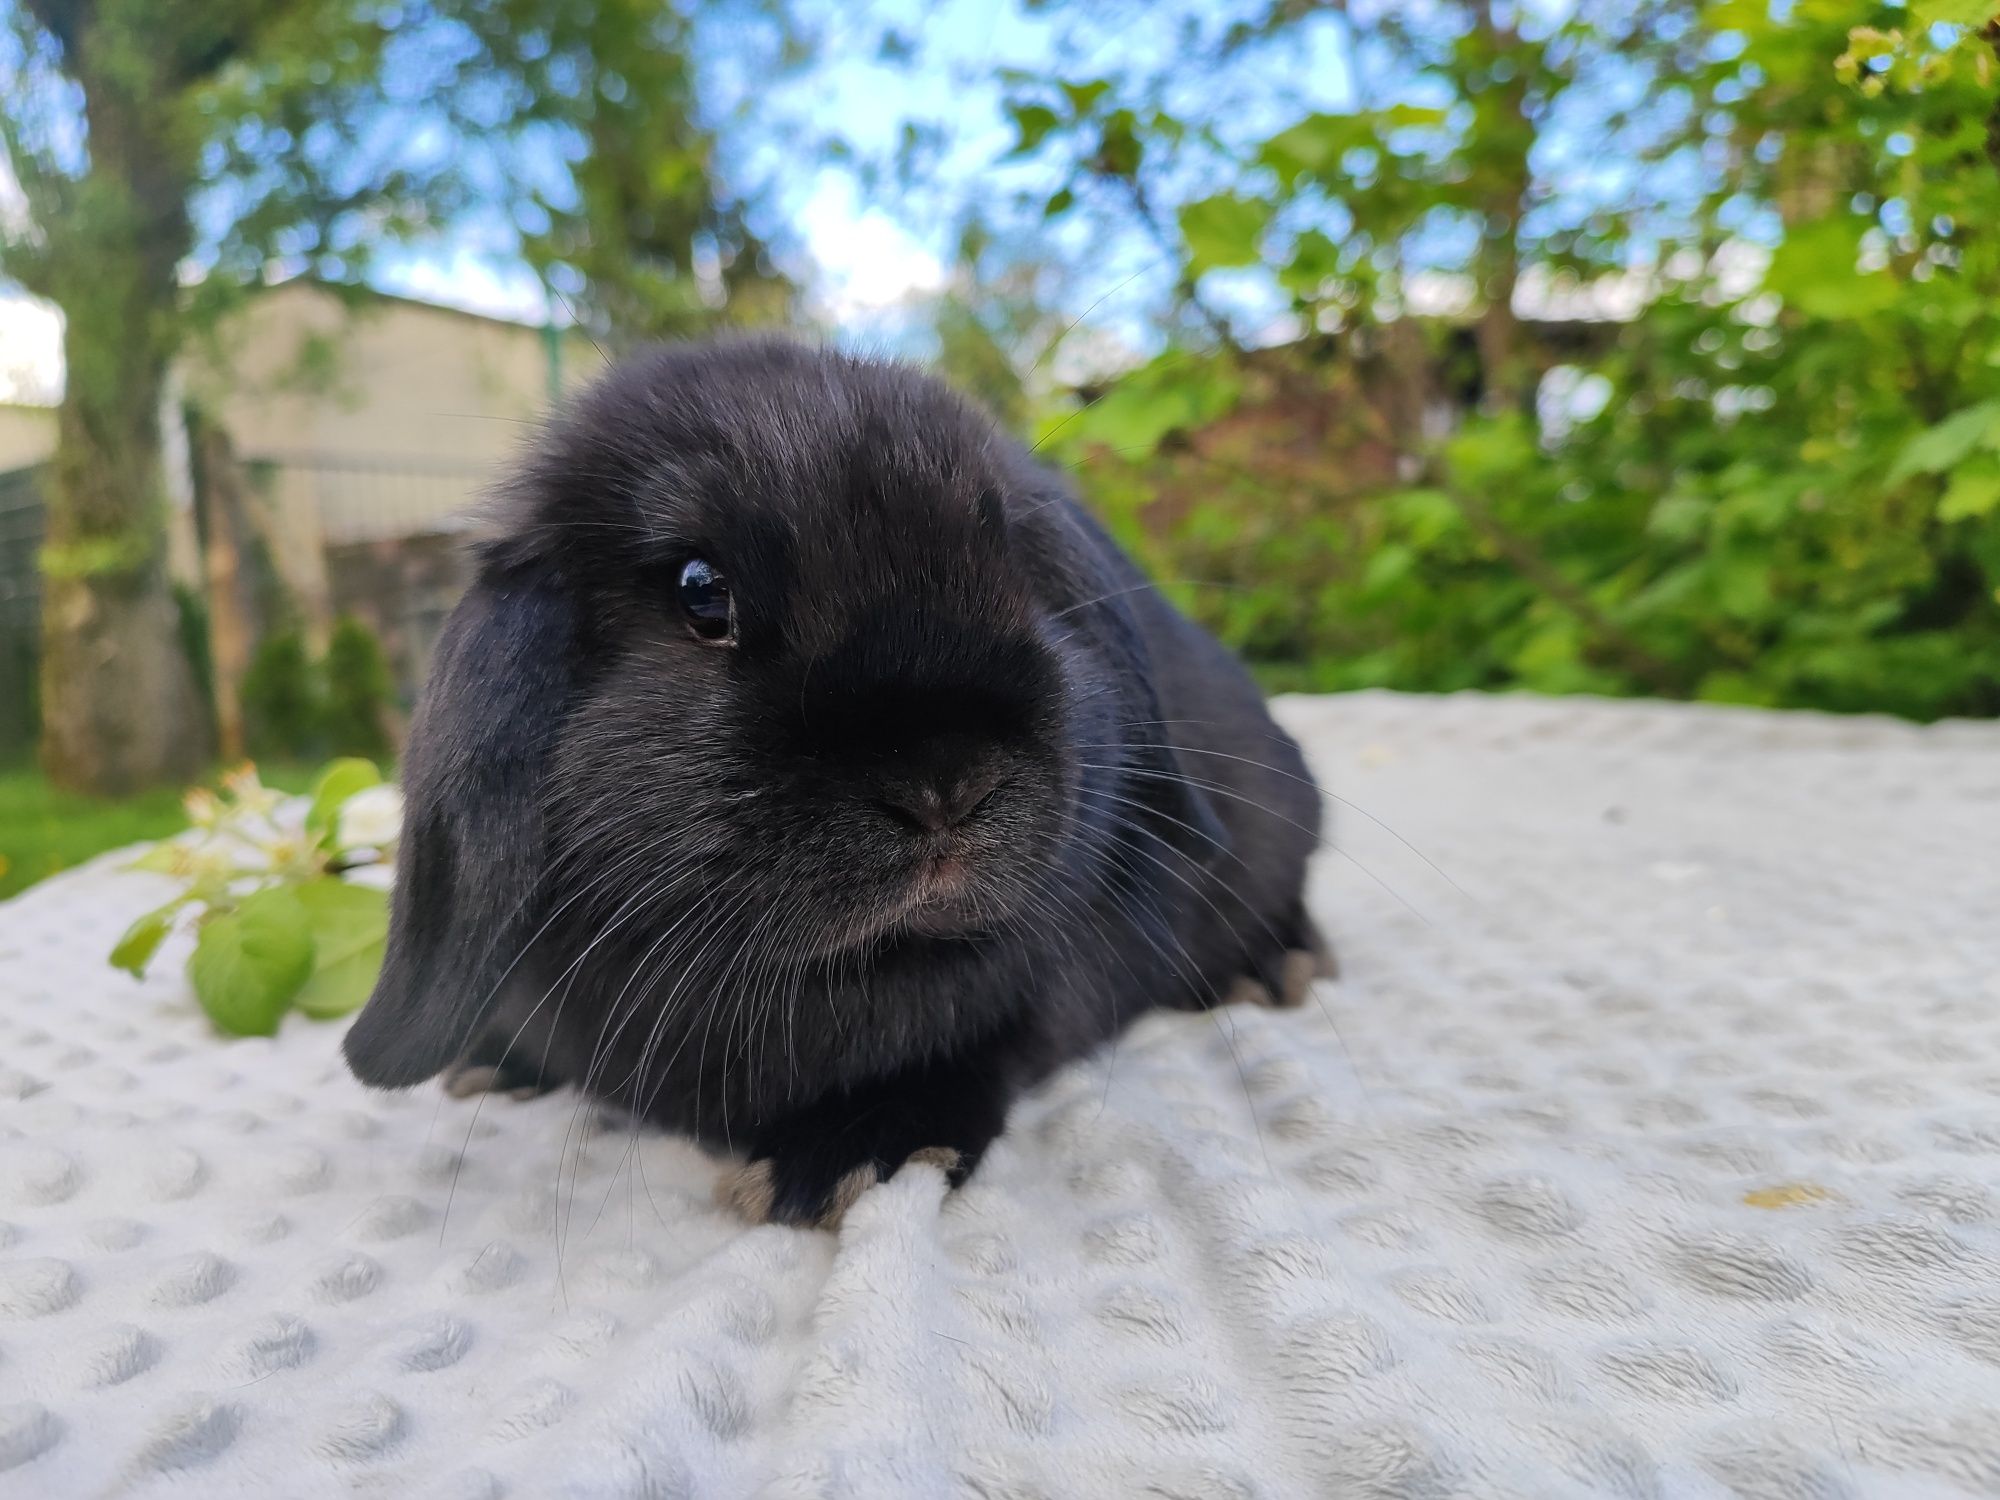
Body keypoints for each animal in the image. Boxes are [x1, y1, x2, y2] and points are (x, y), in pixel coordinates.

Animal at [344, 344, 1328, 1232]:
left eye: (1014, 559)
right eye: (700, 591)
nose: (944, 784)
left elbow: (991, 1046)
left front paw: (840, 1157)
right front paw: (494, 1061)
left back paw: (1275, 966)